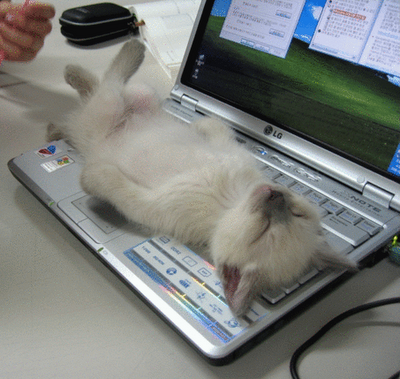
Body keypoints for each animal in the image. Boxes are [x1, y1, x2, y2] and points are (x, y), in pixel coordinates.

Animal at [50, 40, 356, 316]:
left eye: (264, 231)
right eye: (297, 212)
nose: (275, 195)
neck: (231, 201)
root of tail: (81, 133)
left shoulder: (154, 204)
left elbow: (109, 183)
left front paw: (91, 175)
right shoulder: (229, 150)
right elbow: (216, 125)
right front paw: (197, 123)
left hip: (105, 113)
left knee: (104, 90)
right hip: (139, 97)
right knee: (108, 83)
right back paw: (119, 54)